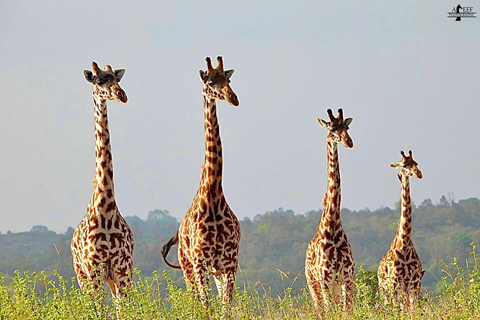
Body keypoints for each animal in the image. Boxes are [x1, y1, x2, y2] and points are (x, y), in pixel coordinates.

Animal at [70, 60, 133, 298]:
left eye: (116, 78)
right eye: (98, 81)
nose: (121, 94)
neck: (106, 209)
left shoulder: (122, 270)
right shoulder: (93, 271)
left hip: (112, 280)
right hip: (82, 276)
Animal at [163, 55, 242, 316]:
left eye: (228, 79)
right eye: (209, 81)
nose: (233, 98)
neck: (214, 194)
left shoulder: (229, 263)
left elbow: (225, 310)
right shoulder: (200, 264)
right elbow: (206, 309)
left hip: (215, 272)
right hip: (188, 268)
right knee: (194, 302)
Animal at [304, 109, 356, 312]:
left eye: (347, 127)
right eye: (333, 128)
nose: (349, 142)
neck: (333, 224)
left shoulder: (347, 276)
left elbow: (348, 311)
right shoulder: (325, 279)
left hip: (334, 286)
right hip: (313, 285)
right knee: (320, 310)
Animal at [378, 150, 424, 310]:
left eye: (416, 163)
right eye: (404, 164)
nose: (419, 173)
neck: (404, 242)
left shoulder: (415, 284)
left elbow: (413, 311)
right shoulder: (394, 285)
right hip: (384, 290)